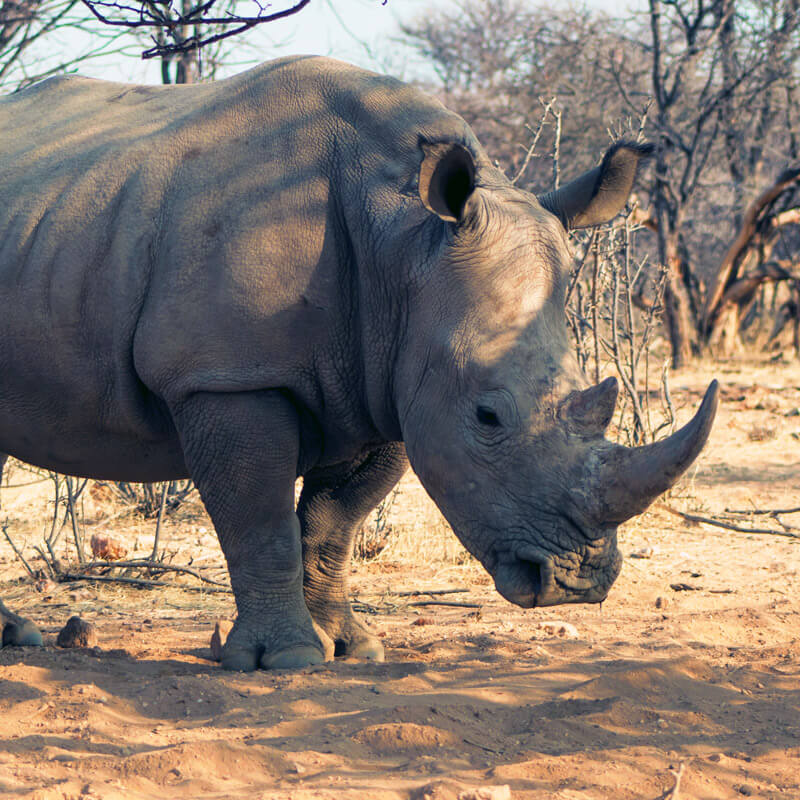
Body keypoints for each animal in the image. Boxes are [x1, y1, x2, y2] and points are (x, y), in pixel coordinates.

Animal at [0, 56, 718, 670]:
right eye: (487, 417)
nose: (574, 583)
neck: (401, 242)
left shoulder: (386, 378)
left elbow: (333, 523)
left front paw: (350, 647)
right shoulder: (227, 374)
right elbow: (259, 519)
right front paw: (286, 659)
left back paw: (16, 638)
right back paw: (22, 639)